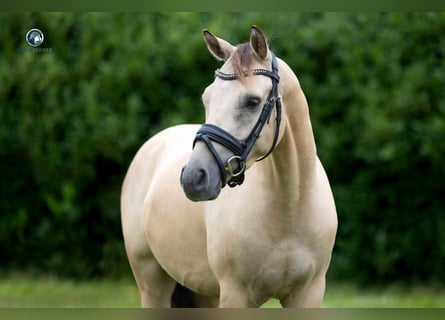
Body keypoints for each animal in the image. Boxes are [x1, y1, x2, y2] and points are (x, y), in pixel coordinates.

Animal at [121, 25, 336, 308]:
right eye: (207, 98)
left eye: (252, 101)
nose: (193, 178)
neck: (290, 208)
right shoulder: (236, 295)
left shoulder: (307, 294)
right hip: (151, 283)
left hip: (204, 294)